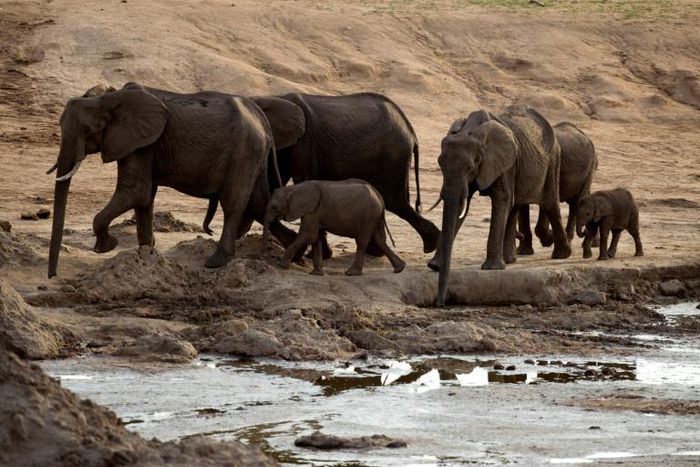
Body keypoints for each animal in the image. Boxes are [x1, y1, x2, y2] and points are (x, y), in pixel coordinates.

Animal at [47, 82, 296, 277]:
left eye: (87, 129)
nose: (52, 276)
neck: (112, 96)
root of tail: (261, 118)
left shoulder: (141, 144)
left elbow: (134, 192)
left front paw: (105, 248)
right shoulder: (142, 144)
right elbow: (144, 197)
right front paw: (146, 252)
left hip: (244, 152)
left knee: (234, 203)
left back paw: (216, 262)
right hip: (254, 155)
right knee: (258, 203)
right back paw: (298, 253)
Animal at [204, 92, 440, 257]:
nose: (210, 233)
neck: (271, 97)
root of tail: (410, 129)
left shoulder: (304, 143)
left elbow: (305, 183)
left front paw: (317, 255)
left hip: (393, 155)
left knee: (395, 200)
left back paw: (430, 245)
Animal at [261, 179, 406, 276]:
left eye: (275, 207)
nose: (261, 256)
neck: (294, 188)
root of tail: (379, 196)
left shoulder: (313, 211)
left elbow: (308, 235)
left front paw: (281, 265)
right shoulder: (314, 213)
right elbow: (315, 238)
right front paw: (316, 273)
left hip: (369, 215)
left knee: (362, 241)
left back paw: (351, 273)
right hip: (373, 216)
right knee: (379, 240)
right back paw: (400, 269)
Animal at [428, 105, 571, 306]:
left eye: (470, 167)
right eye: (440, 164)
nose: (440, 304)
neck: (471, 130)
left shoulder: (504, 163)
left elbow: (501, 199)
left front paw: (491, 269)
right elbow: (465, 205)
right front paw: (434, 265)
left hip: (553, 159)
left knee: (550, 202)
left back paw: (561, 255)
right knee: (515, 205)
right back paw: (510, 260)